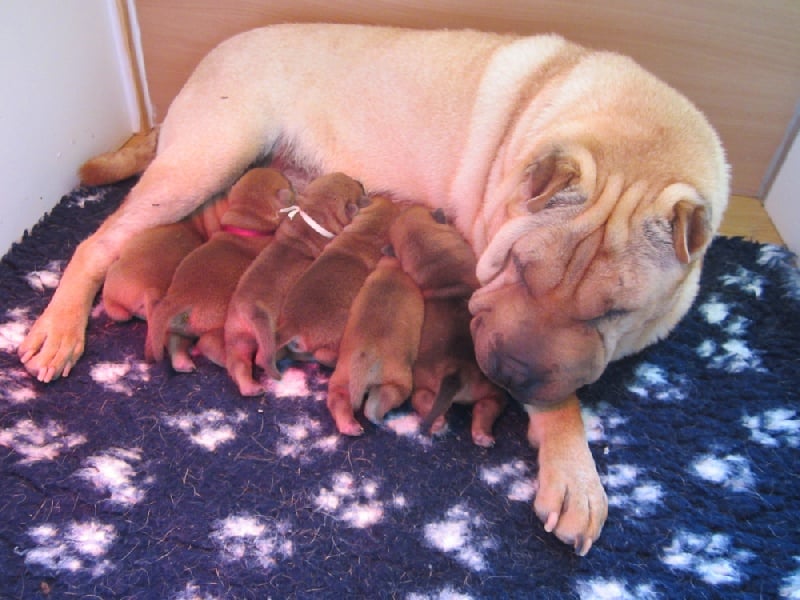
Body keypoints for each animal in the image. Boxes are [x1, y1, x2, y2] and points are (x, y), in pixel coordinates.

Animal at [145, 169, 292, 372]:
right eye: (285, 180)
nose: (281, 171)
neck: (245, 225)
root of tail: (178, 299)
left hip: (179, 326)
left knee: (175, 340)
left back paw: (182, 361)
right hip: (216, 322)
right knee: (208, 344)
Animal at [223, 171, 364, 396]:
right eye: (354, 187)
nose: (360, 182)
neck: (312, 217)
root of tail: (250, 310)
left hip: (237, 336)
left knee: (239, 363)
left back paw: (250, 387)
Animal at [324, 253, 424, 436]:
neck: (394, 270)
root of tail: (364, 358)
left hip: (340, 379)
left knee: (338, 400)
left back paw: (350, 426)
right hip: (398, 382)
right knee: (379, 402)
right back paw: (377, 418)